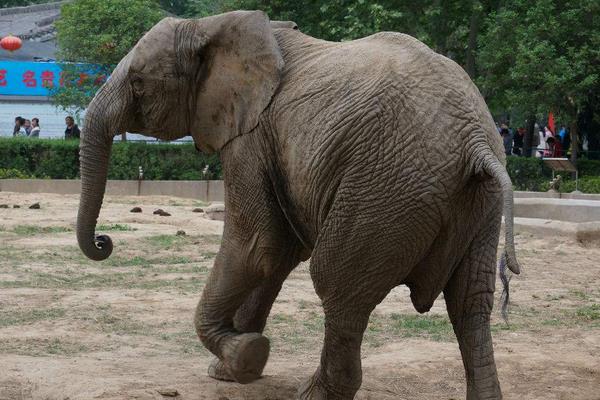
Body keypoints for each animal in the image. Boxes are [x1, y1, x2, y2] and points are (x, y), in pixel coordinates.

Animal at [77, 10, 520, 400]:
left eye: (138, 83)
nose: (104, 241)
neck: (212, 24)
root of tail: (477, 141)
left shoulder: (250, 138)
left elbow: (257, 245)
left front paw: (243, 355)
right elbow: (277, 253)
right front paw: (235, 367)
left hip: (388, 187)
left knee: (339, 287)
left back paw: (314, 393)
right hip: (475, 203)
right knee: (470, 302)